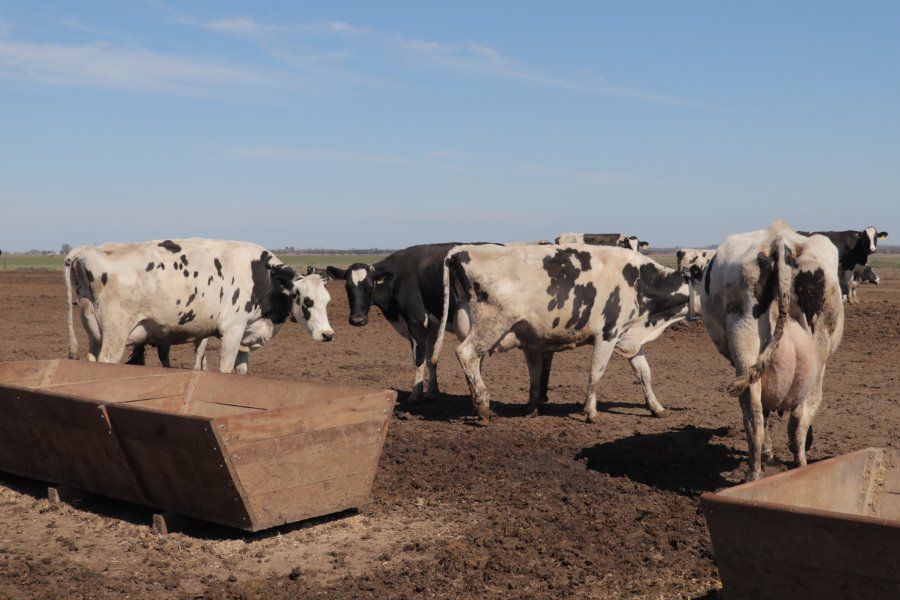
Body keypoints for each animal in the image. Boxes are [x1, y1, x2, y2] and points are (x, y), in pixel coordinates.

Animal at [65, 238, 336, 370]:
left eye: (327, 301)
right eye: (307, 300)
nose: (328, 334)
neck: (261, 275)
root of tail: (89, 250)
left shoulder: (244, 336)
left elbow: (241, 371)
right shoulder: (232, 331)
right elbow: (224, 369)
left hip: (94, 333)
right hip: (115, 335)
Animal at [326, 244, 468, 404]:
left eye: (369, 287)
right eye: (347, 287)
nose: (357, 320)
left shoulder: (416, 321)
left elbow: (419, 358)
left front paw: (415, 395)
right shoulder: (433, 325)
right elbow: (432, 359)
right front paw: (432, 392)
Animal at [442, 243, 688, 422]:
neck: (637, 281)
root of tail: (460, 251)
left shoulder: (629, 339)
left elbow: (644, 373)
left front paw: (657, 408)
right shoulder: (607, 335)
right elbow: (596, 372)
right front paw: (591, 412)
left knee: (475, 364)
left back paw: (479, 406)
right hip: (491, 325)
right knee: (466, 354)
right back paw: (483, 407)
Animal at [688, 223, 844, 480]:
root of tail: (779, 241)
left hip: (750, 347)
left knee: (761, 415)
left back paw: (759, 473)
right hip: (815, 357)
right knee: (792, 419)